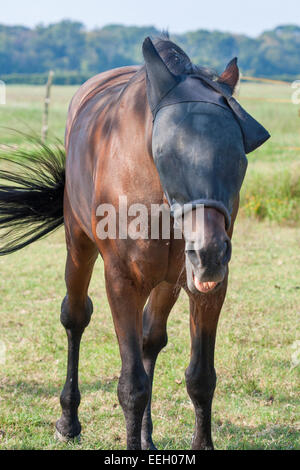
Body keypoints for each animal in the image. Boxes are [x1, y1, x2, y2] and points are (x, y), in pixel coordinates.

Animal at [0, 35, 270, 448]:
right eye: (168, 154)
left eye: (238, 159)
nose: (208, 254)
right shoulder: (122, 282)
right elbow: (131, 387)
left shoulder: (204, 288)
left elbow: (200, 378)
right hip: (79, 248)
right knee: (75, 316)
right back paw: (68, 421)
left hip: (167, 283)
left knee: (150, 339)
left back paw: (146, 435)